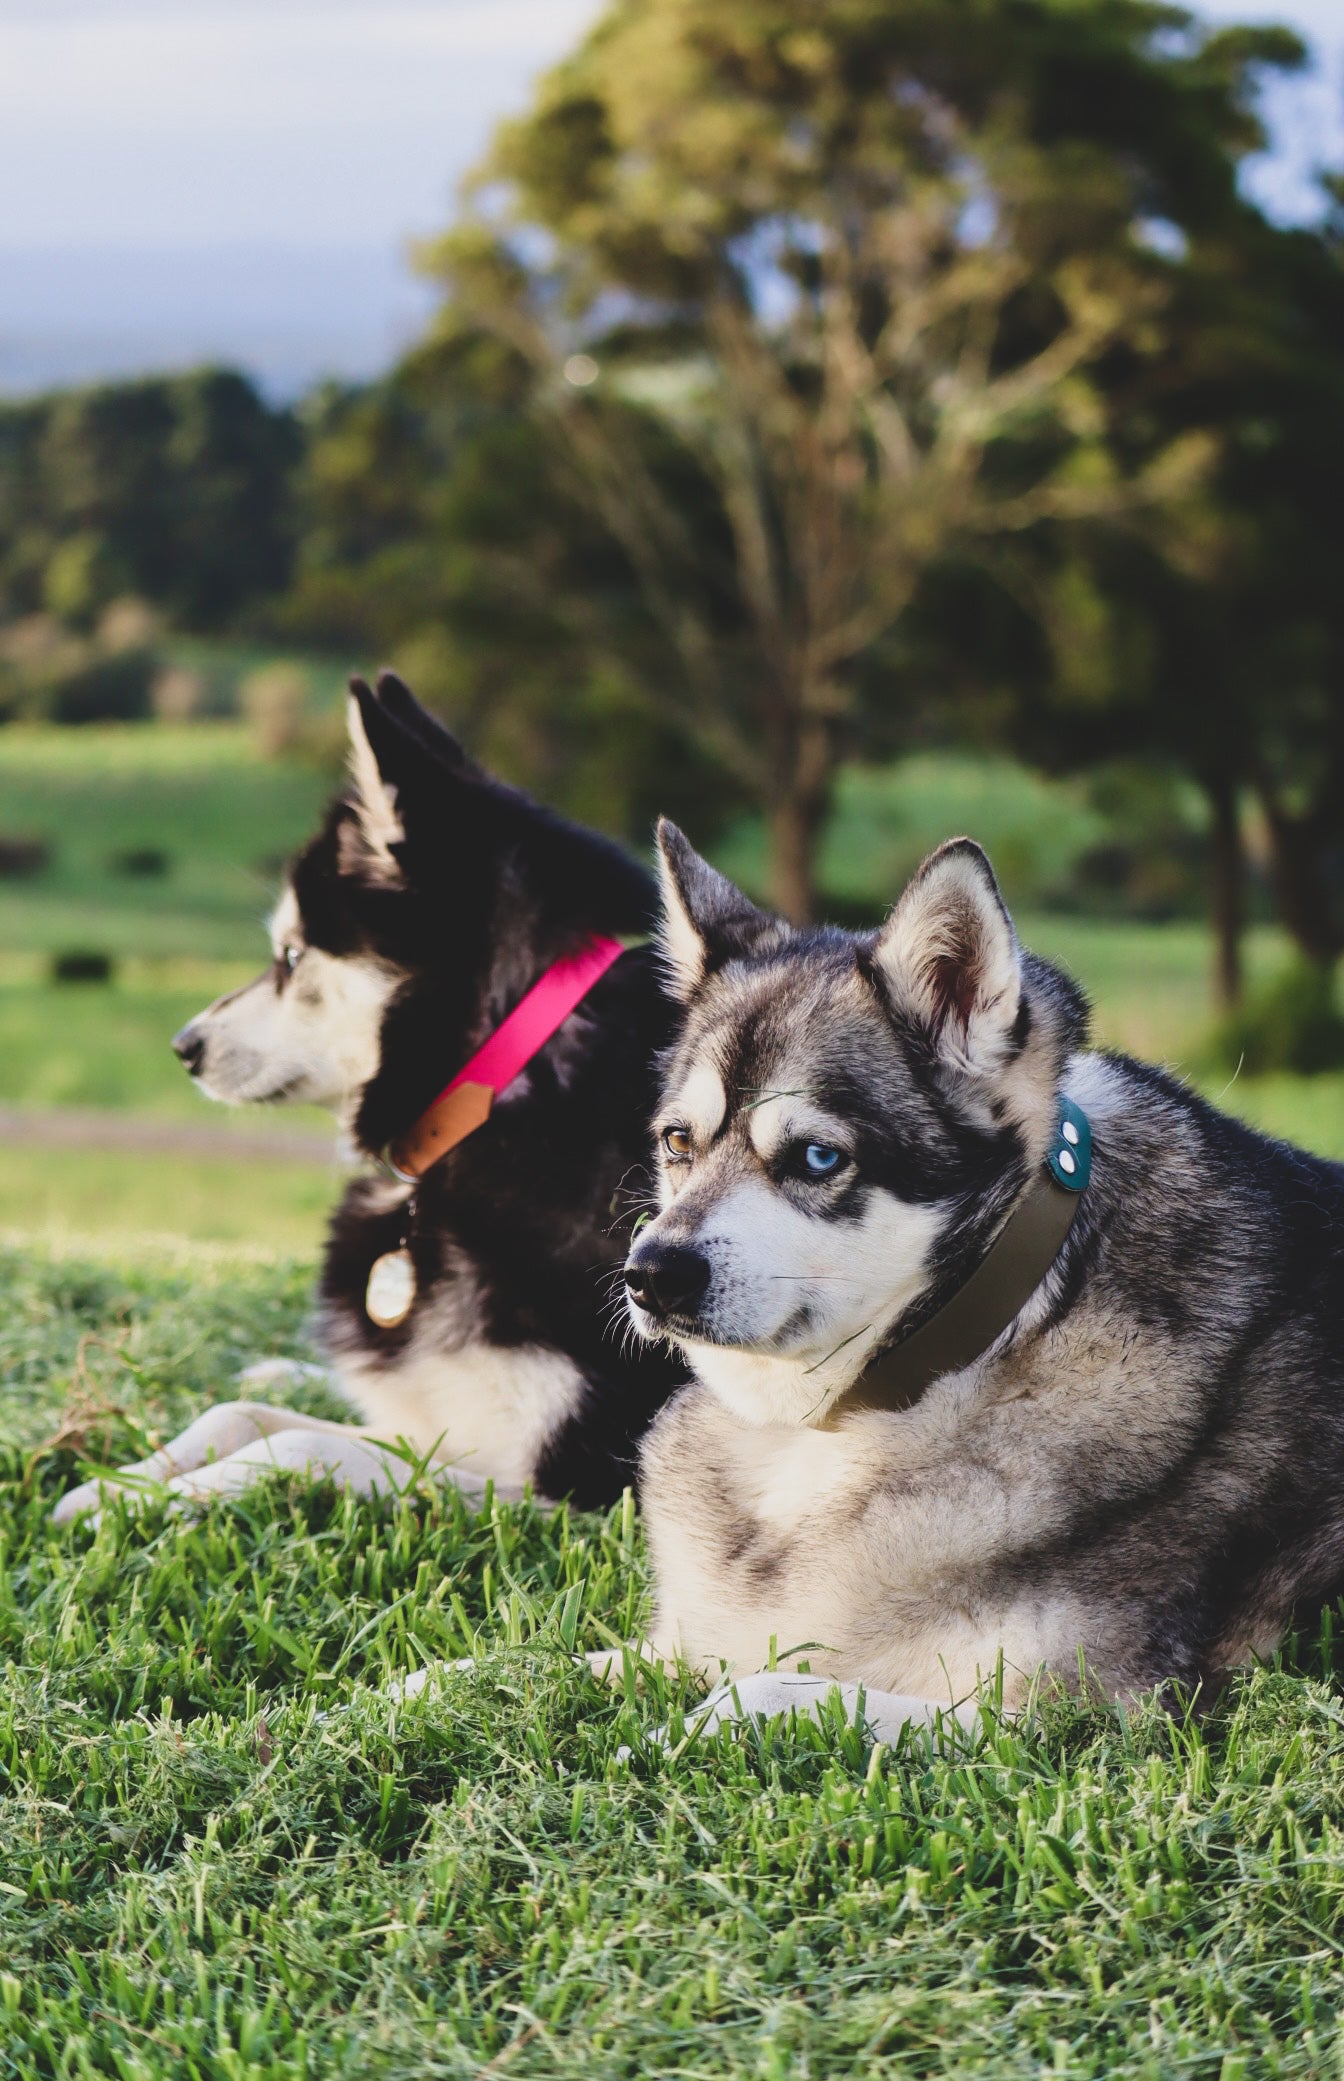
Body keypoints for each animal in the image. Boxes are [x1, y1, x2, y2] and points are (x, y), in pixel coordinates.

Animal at [55, 682, 686, 1531]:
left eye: (291, 956)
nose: (184, 1045)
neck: (506, 1080)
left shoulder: (579, 1484)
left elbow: (299, 1444)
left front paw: (148, 1502)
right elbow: (239, 1414)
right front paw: (119, 1483)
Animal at [615, 819, 1344, 1731]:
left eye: (817, 1157)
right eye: (679, 1141)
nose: (650, 1273)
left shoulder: (1074, 1716)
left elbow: (770, 1686)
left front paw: (667, 1733)